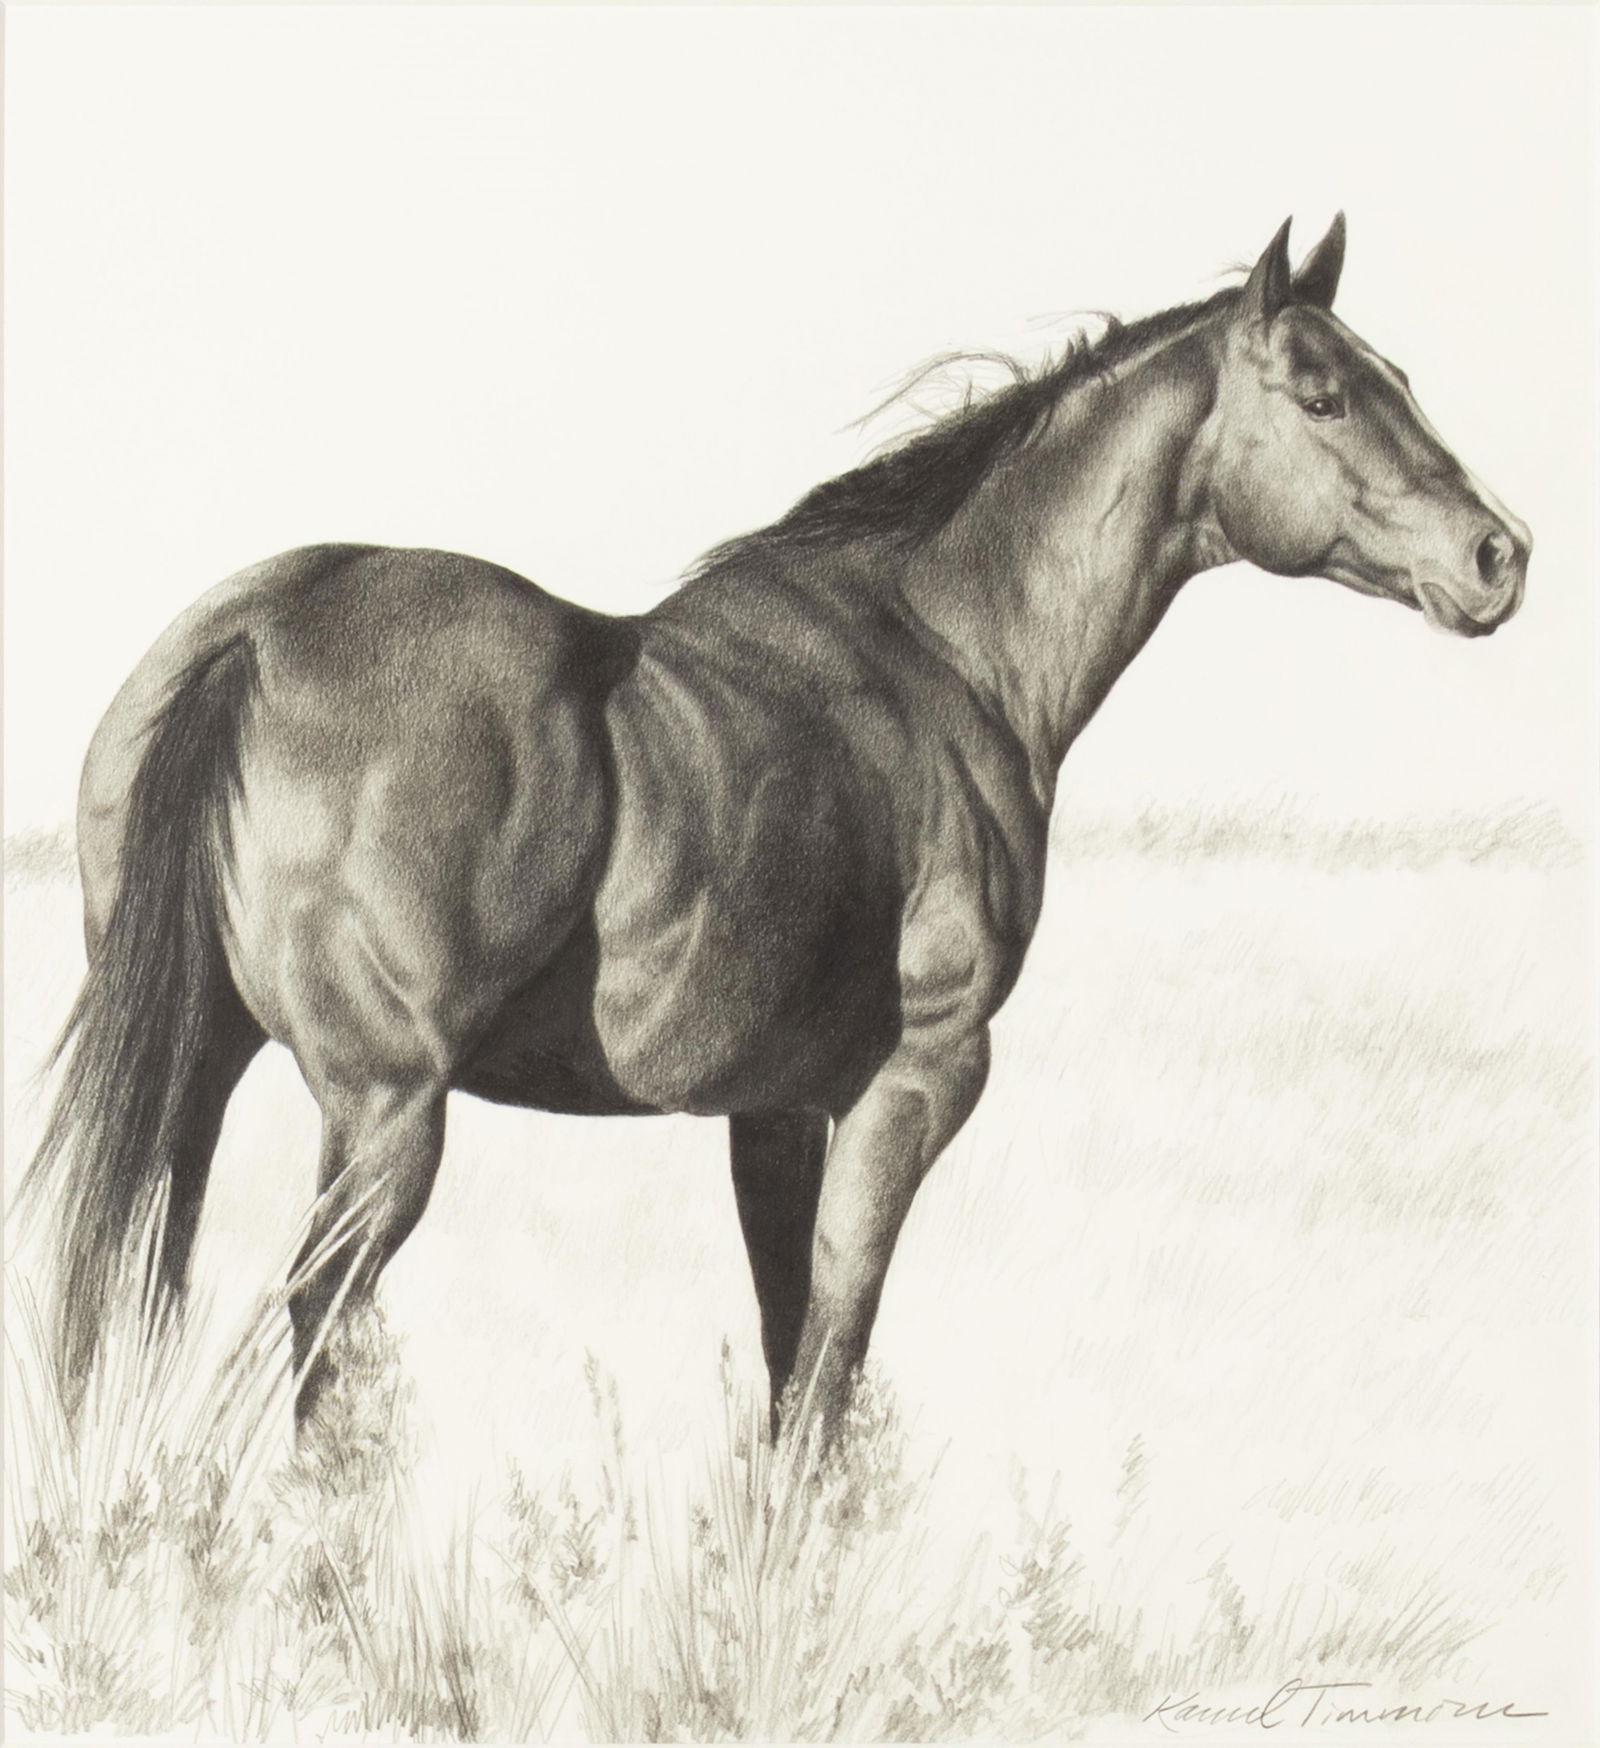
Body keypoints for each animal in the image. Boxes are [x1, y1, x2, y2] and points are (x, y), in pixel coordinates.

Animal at [28, 216, 1530, 1444]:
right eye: (1325, 394)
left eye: (1399, 377)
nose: (1497, 556)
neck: (944, 649)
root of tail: (259, 633)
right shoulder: (914, 1083)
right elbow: (828, 1370)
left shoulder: (774, 1111)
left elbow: (782, 1356)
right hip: (386, 1114)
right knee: (311, 1340)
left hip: (200, 1063)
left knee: (135, 1295)